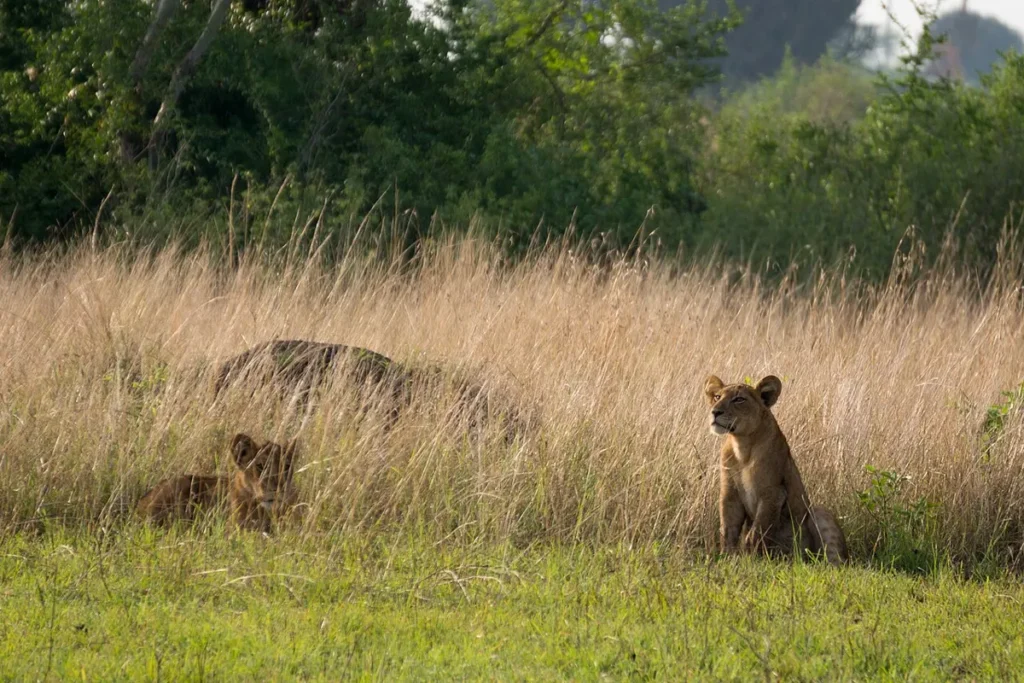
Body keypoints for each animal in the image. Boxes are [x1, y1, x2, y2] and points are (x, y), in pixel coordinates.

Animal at [703, 374, 848, 565]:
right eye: (717, 397)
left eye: (739, 399)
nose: (715, 412)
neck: (742, 445)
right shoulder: (730, 493)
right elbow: (728, 529)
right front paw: (727, 559)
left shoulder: (773, 493)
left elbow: (757, 532)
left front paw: (753, 561)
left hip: (819, 513)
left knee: (836, 561)